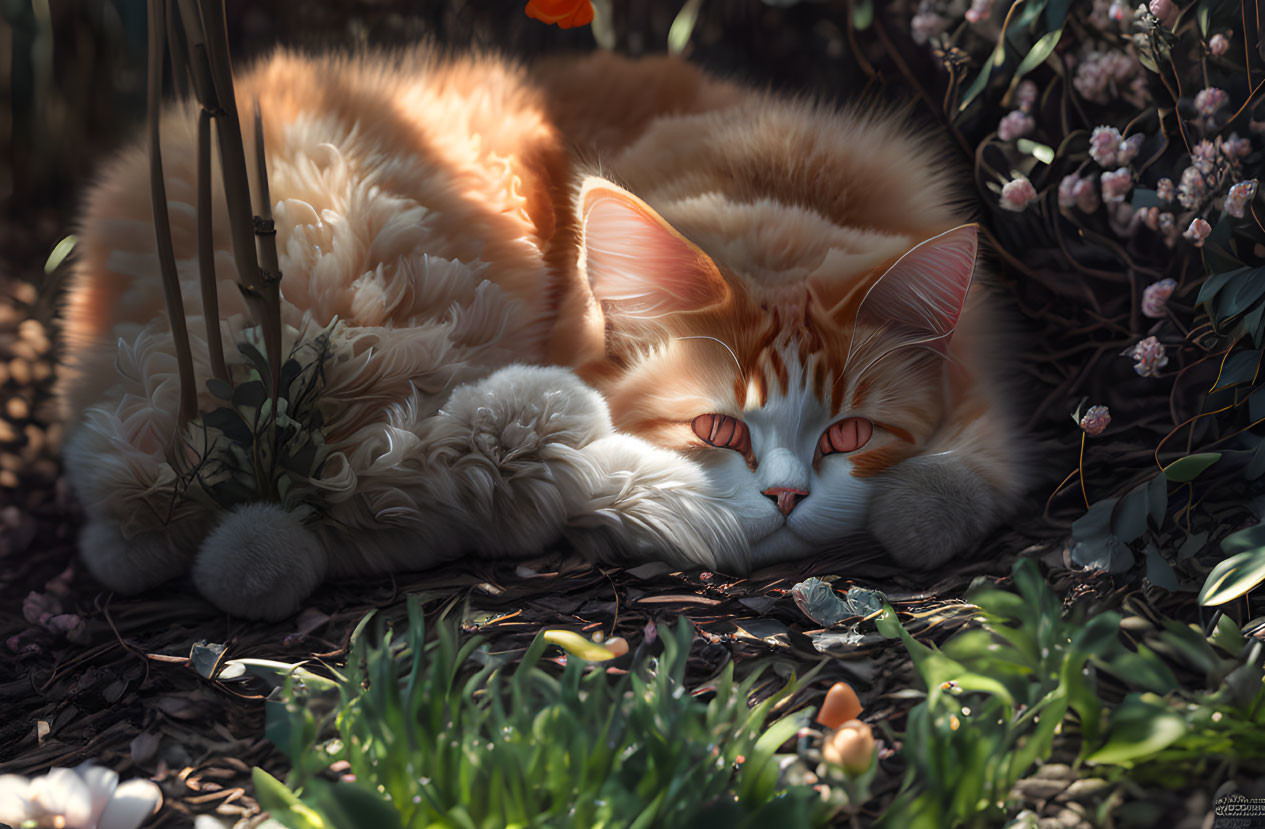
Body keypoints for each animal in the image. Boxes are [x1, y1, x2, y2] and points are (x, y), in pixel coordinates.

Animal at [59, 45, 1022, 615]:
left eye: (849, 434)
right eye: (714, 427)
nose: (785, 498)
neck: (768, 178)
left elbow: (970, 458)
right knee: (419, 486)